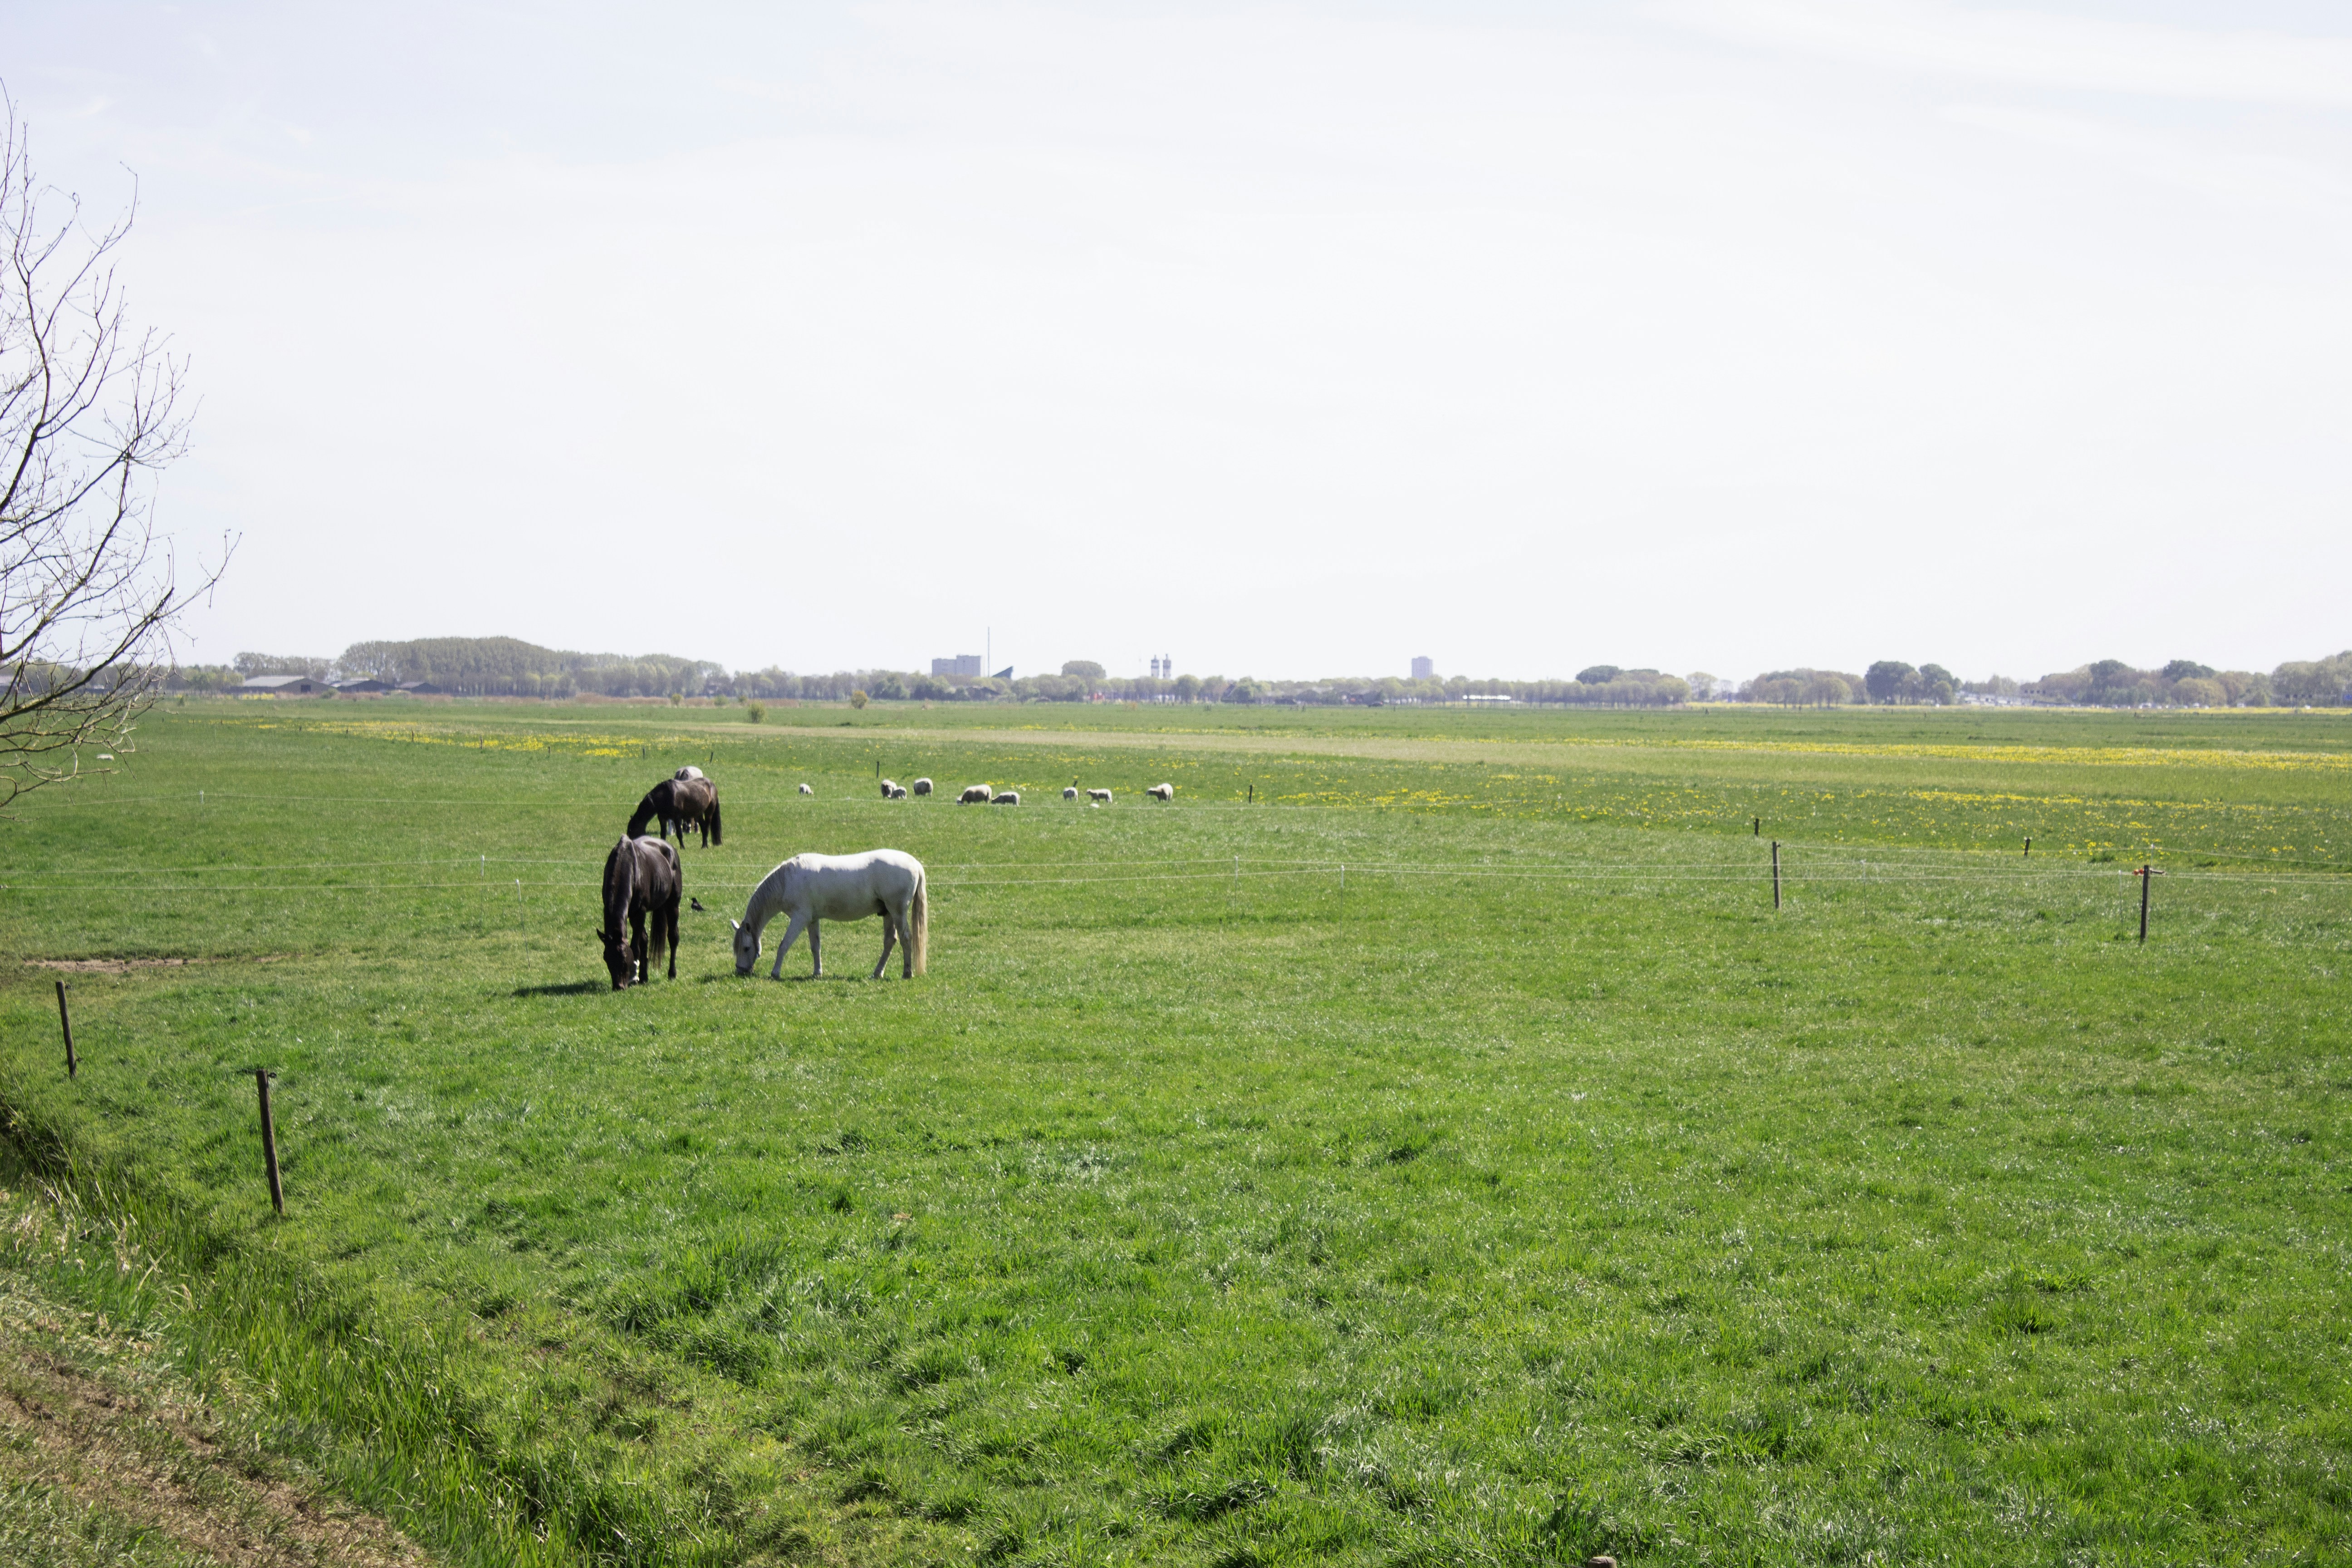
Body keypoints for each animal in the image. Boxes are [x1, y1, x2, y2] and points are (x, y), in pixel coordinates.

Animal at [597, 836, 681, 989]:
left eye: (625, 957)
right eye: (606, 957)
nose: (618, 986)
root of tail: (669, 847)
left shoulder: (640, 913)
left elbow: (635, 947)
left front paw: (633, 977)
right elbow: (642, 943)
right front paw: (640, 976)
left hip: (673, 906)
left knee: (673, 937)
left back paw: (672, 974)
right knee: (646, 940)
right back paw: (644, 977)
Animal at [628, 776, 722, 847]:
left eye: (632, 829)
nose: (632, 843)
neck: (665, 796)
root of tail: (713, 785)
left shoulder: (677, 818)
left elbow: (680, 834)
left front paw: (683, 848)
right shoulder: (662, 818)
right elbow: (663, 834)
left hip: (709, 812)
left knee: (707, 828)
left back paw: (705, 846)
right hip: (698, 814)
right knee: (703, 828)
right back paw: (704, 845)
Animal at [731, 849, 927, 980]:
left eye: (747, 948)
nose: (740, 971)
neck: (787, 881)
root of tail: (915, 863)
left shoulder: (800, 919)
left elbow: (784, 945)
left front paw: (775, 973)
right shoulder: (812, 920)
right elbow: (815, 947)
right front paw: (817, 973)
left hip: (898, 912)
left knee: (906, 939)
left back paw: (907, 973)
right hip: (888, 913)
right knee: (890, 941)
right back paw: (877, 973)